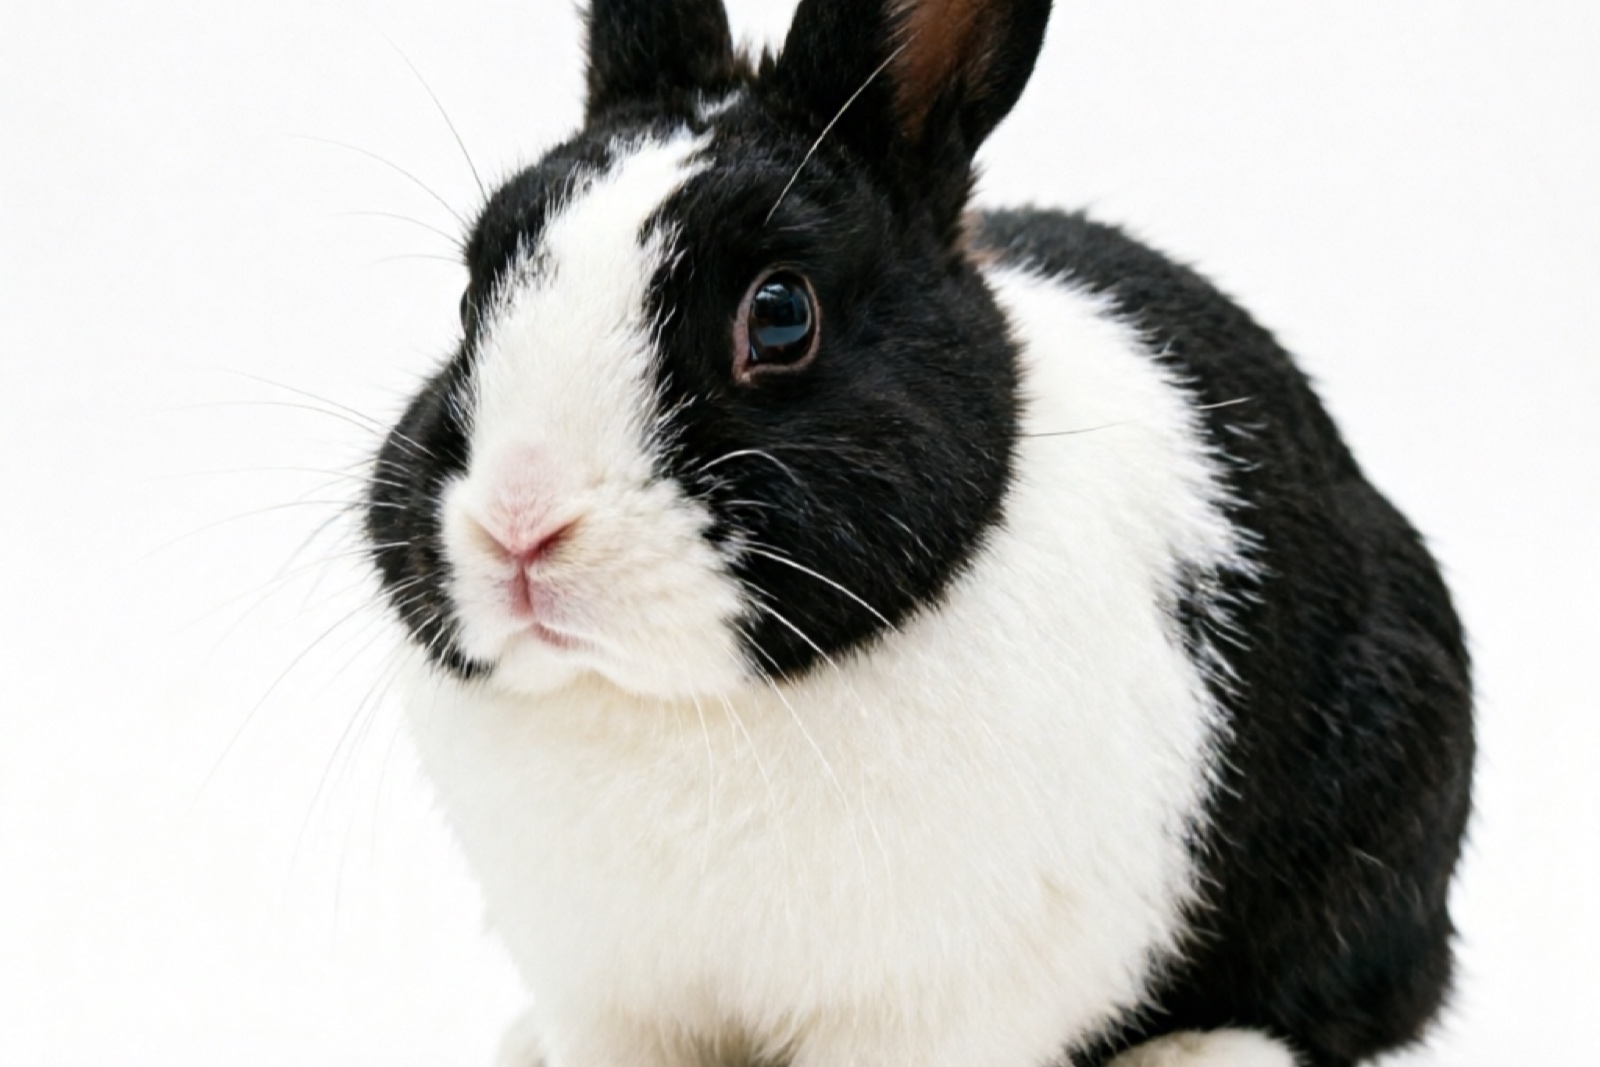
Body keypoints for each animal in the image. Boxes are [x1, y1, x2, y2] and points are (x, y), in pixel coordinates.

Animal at [363, 1, 1474, 1065]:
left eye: (780, 315)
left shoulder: (929, 1009)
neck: (669, 705)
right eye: (472, 293)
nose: (518, 525)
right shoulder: (614, 996)